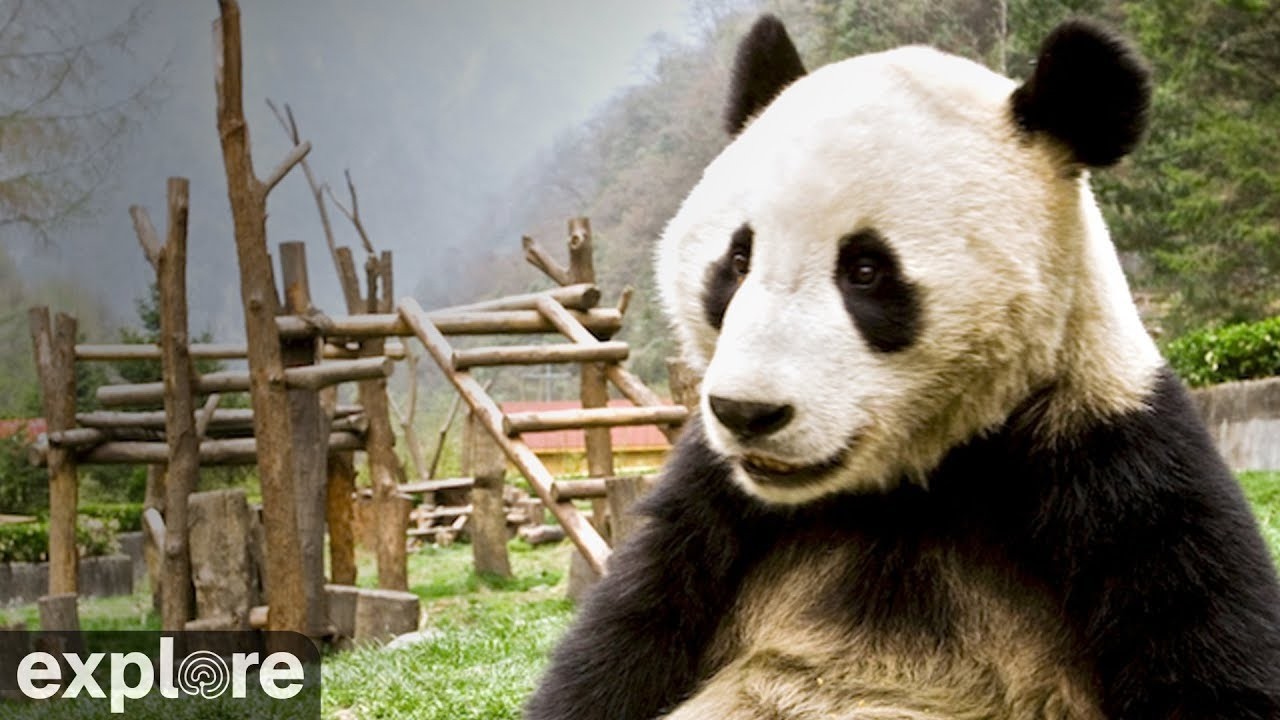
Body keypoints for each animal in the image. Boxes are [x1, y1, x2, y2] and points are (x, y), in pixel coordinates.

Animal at [524, 15, 1280, 720]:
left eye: (866, 271)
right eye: (736, 261)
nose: (748, 413)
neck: (909, 484)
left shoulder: (1110, 454)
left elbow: (1201, 638)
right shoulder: (713, 499)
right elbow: (625, 637)